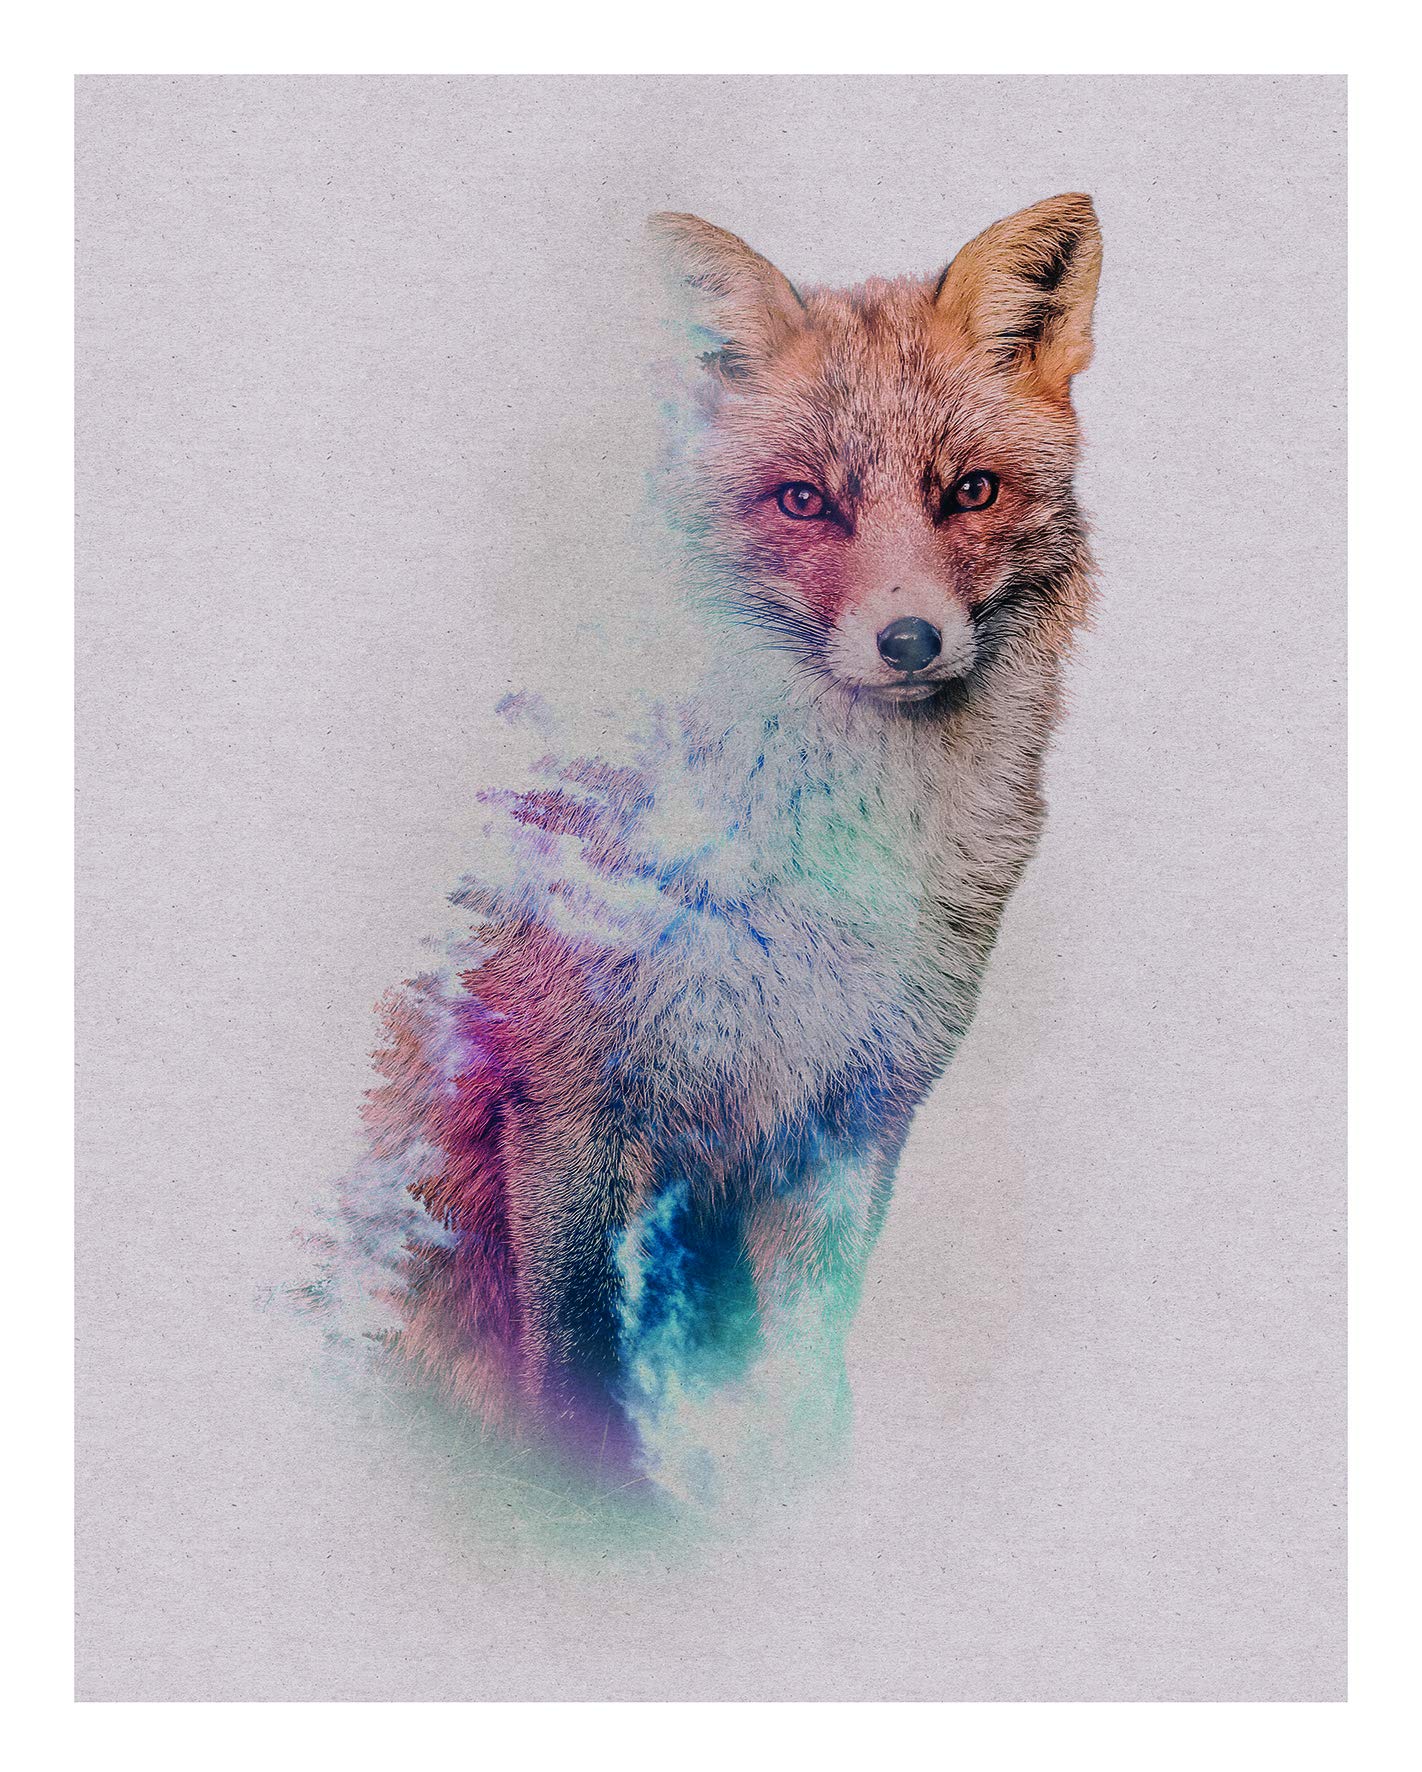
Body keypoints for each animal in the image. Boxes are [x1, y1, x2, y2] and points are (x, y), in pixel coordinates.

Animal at [308, 193, 1103, 1503]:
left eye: (971, 490)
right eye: (804, 501)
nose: (909, 639)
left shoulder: (852, 1114)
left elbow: (807, 1382)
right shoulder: (569, 1095)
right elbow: (580, 1367)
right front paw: (594, 1517)